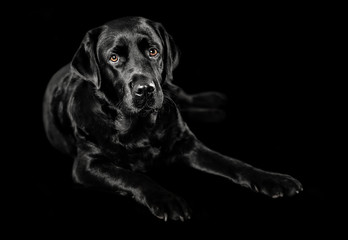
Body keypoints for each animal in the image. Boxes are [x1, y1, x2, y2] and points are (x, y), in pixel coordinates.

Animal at [42, 16, 302, 221]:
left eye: (153, 51)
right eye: (114, 58)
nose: (145, 89)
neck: (139, 126)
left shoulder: (188, 144)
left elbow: (232, 163)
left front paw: (273, 179)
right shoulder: (87, 165)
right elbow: (133, 176)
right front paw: (167, 200)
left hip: (169, 88)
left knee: (184, 97)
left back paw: (216, 102)